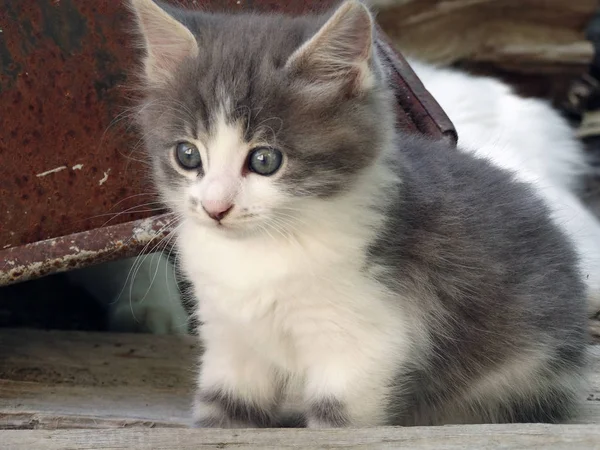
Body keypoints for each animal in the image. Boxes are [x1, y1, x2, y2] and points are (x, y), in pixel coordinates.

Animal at [130, 0, 584, 428]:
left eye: (264, 160)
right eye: (188, 155)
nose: (215, 208)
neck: (260, 252)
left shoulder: (368, 343)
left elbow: (338, 421)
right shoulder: (230, 339)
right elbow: (221, 412)